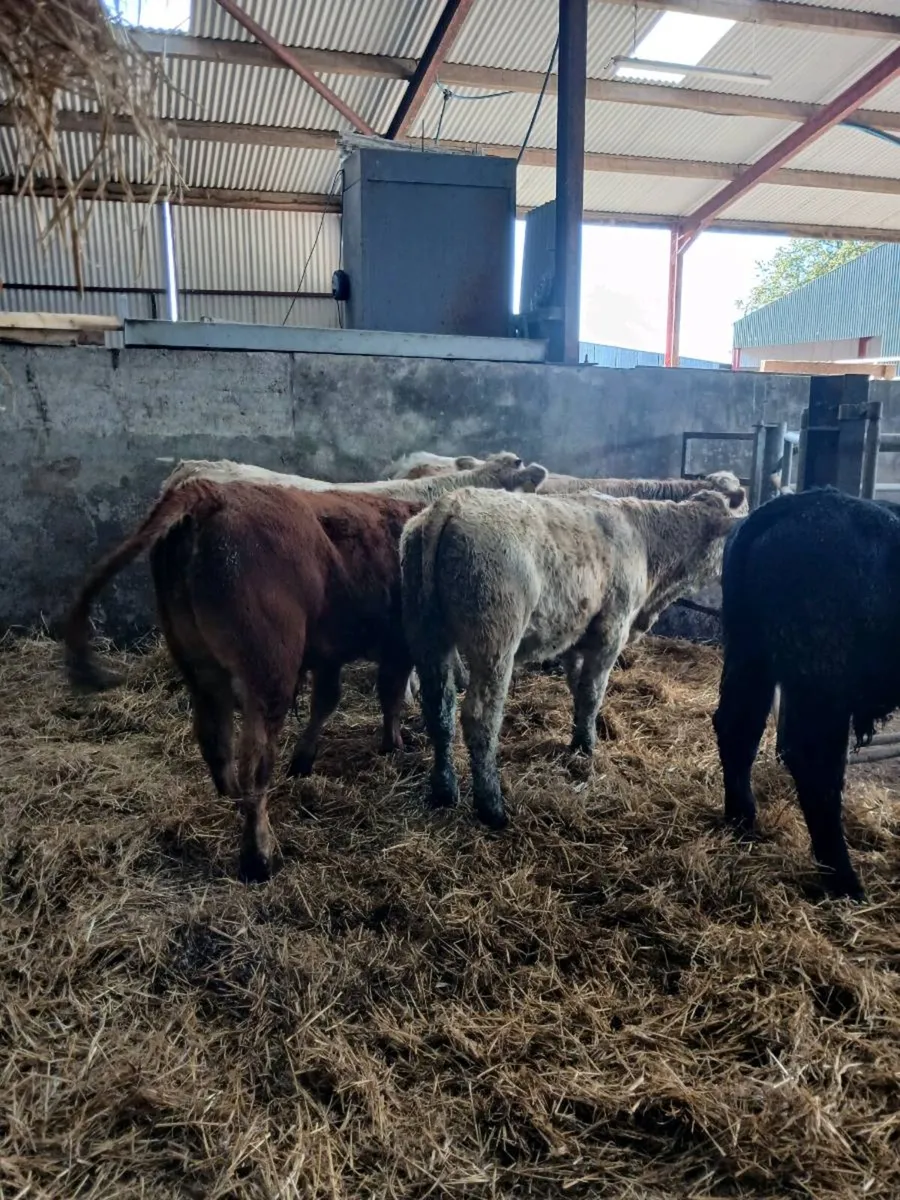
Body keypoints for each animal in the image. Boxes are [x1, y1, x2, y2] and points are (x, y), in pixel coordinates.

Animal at [64, 455, 546, 882]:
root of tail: (208, 494)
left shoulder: (330, 651)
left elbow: (327, 702)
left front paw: (307, 759)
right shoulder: (400, 642)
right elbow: (391, 692)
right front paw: (393, 742)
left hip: (198, 663)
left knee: (215, 740)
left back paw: (228, 799)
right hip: (269, 669)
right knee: (255, 760)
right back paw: (260, 856)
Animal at [401, 486, 742, 829]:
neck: (643, 539)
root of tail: (451, 503)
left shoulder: (575, 638)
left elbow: (578, 689)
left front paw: (579, 741)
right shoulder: (610, 632)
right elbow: (592, 693)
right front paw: (587, 745)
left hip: (428, 636)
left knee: (439, 710)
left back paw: (444, 790)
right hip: (494, 642)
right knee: (479, 718)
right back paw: (491, 806)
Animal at [713, 487, 900, 900]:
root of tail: (799, 503)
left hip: (751, 655)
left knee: (737, 727)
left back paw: (742, 819)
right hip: (821, 683)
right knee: (816, 765)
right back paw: (846, 883)